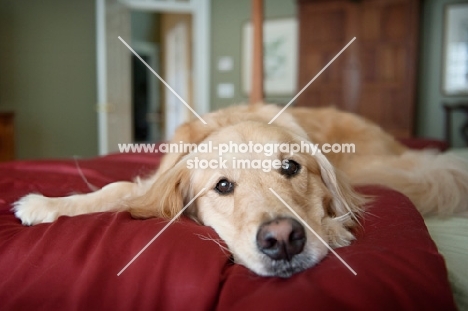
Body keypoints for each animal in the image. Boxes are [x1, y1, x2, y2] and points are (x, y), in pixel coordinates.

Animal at [11, 104, 468, 278]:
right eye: (223, 185)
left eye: (290, 167)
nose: (282, 240)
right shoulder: (154, 180)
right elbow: (118, 187)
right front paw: (45, 204)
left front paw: (333, 227)